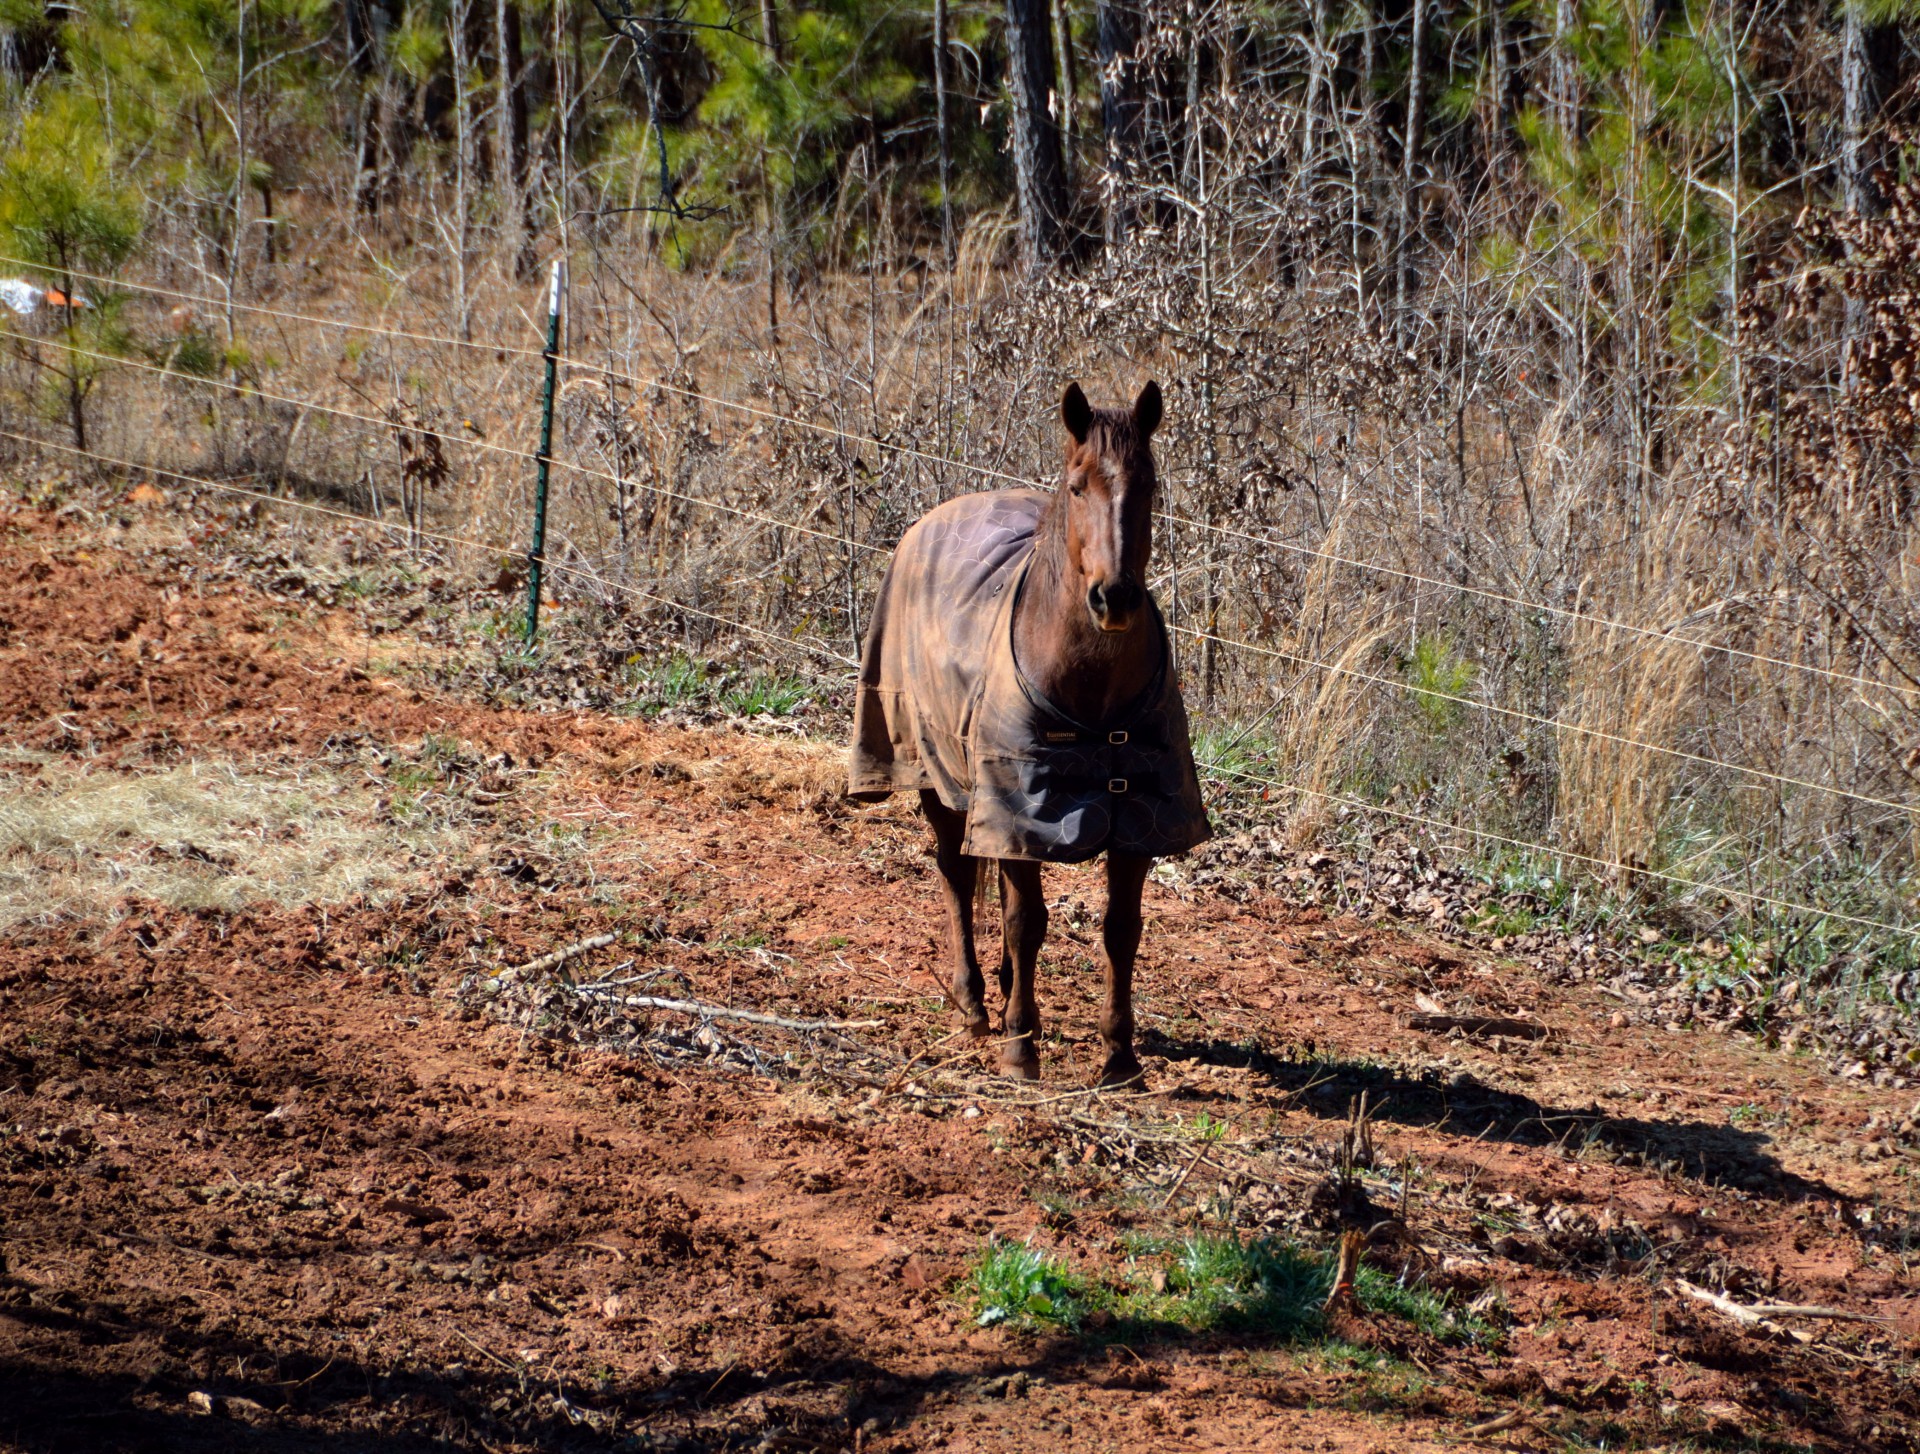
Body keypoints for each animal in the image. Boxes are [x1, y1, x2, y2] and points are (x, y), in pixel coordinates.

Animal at [848, 380, 1205, 1083]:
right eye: (1077, 485)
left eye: (1149, 485)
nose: (1115, 599)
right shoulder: (1019, 810)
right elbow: (1025, 920)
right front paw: (1020, 1048)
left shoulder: (1139, 817)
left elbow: (1121, 928)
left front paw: (1119, 1057)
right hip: (936, 776)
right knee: (957, 875)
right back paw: (975, 1003)